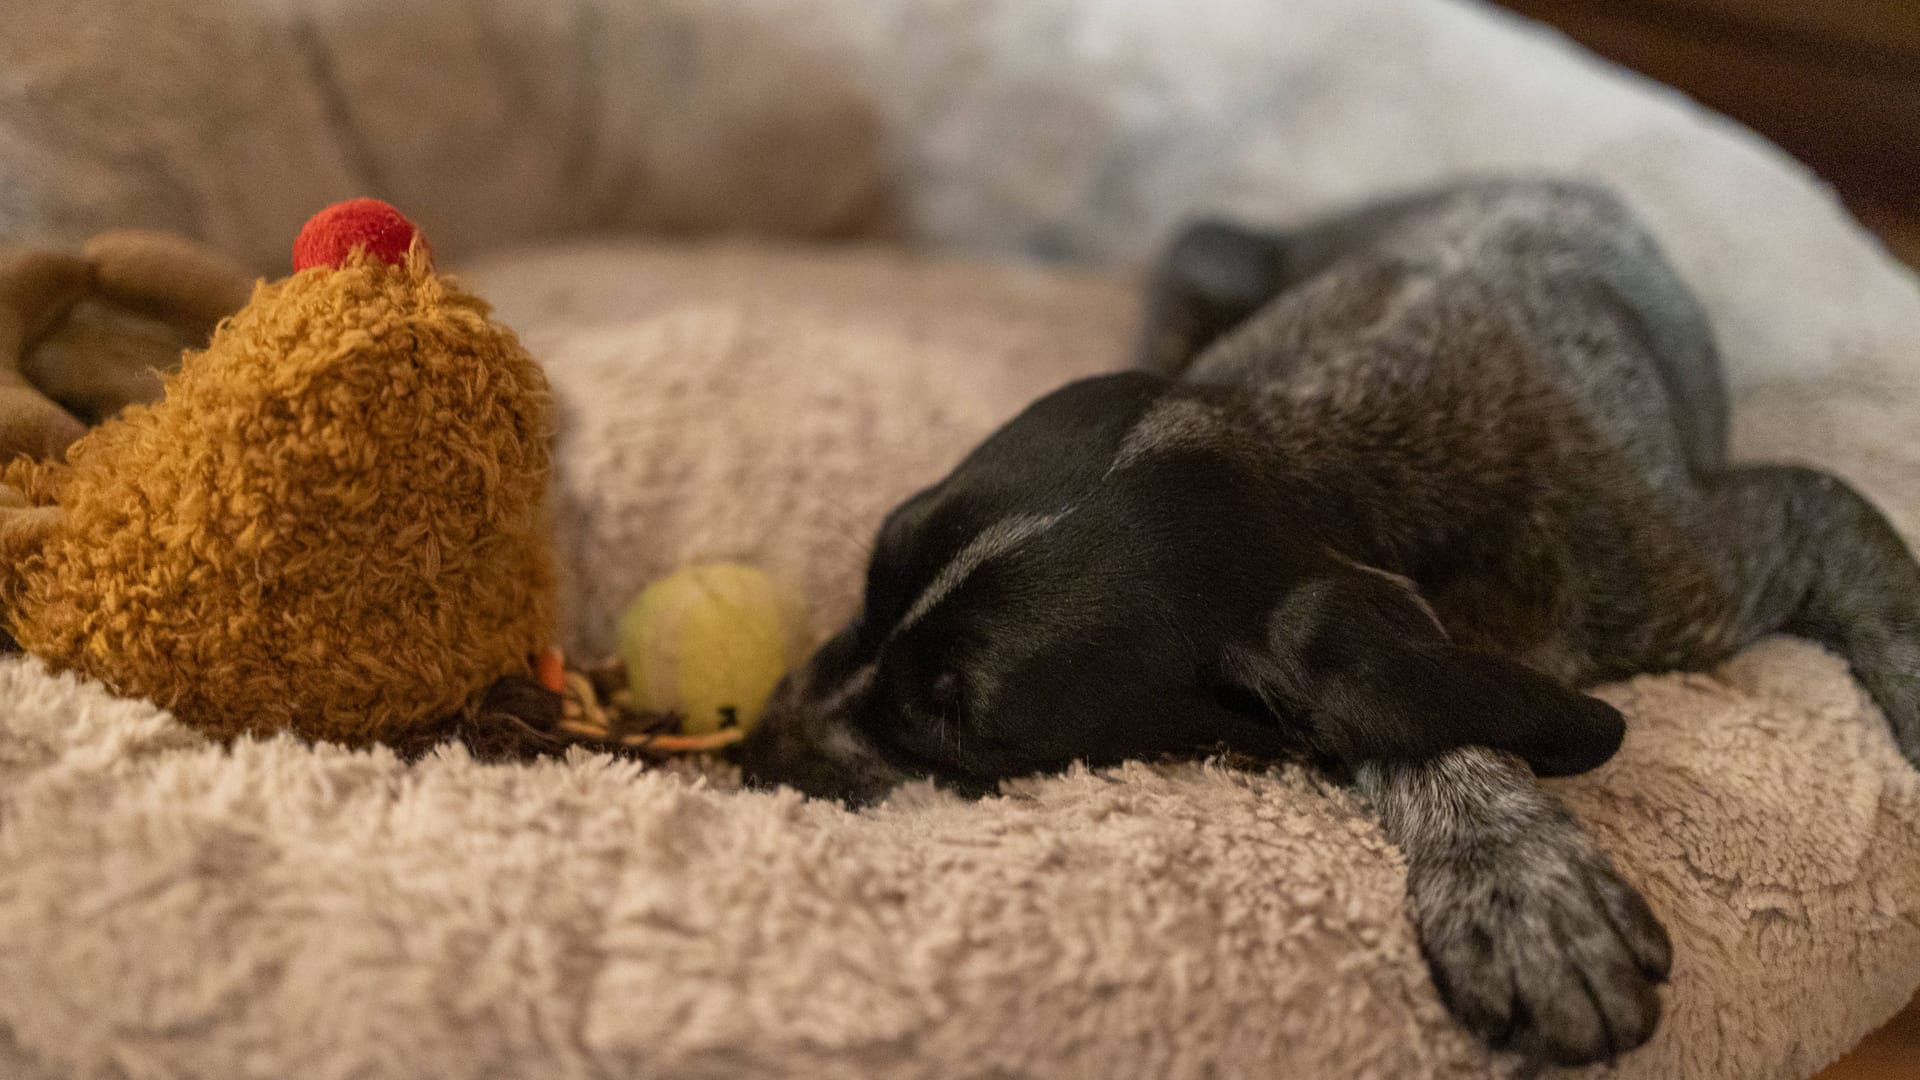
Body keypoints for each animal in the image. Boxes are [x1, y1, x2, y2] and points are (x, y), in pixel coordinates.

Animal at [725, 176, 1920, 1060]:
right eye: (871, 578)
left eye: (953, 720)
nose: (751, 752)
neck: (1324, 449)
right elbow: (1401, 707)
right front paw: (1512, 870)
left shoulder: (1750, 542)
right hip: (1202, 257)